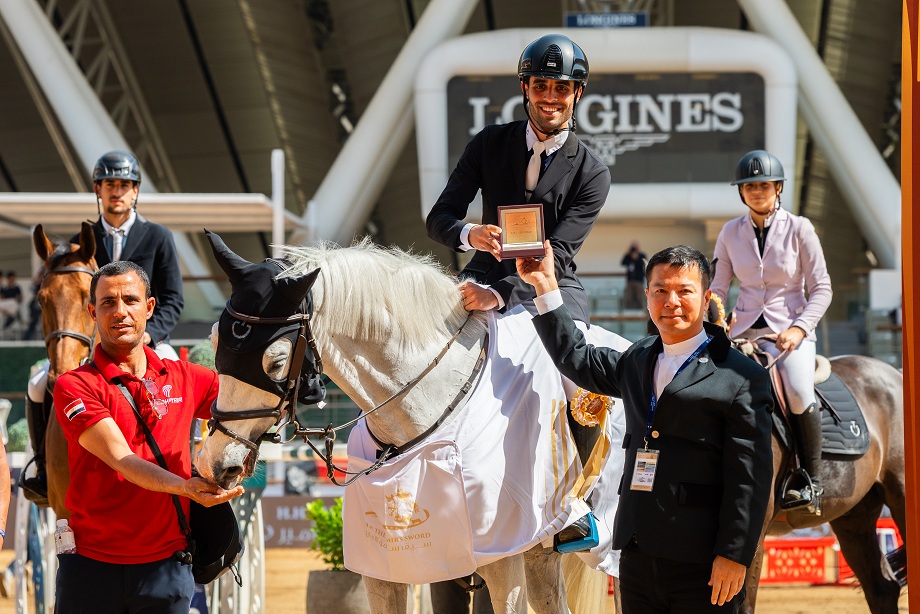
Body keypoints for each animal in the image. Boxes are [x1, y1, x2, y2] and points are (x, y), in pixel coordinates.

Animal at [196, 231, 620, 614]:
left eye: (277, 362)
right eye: (215, 341)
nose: (213, 463)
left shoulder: (503, 560)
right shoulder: (388, 568)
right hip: (540, 553)